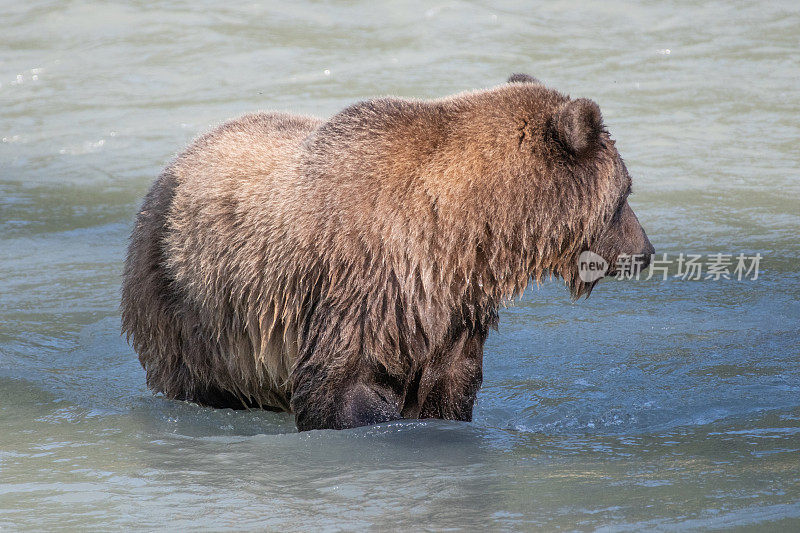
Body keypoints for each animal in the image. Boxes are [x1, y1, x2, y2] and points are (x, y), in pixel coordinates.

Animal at [122, 75, 652, 430]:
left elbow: (451, 384)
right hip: (188, 305)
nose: (644, 250)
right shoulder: (364, 282)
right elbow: (339, 385)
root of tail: (175, 162)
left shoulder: (449, 304)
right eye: (625, 192)